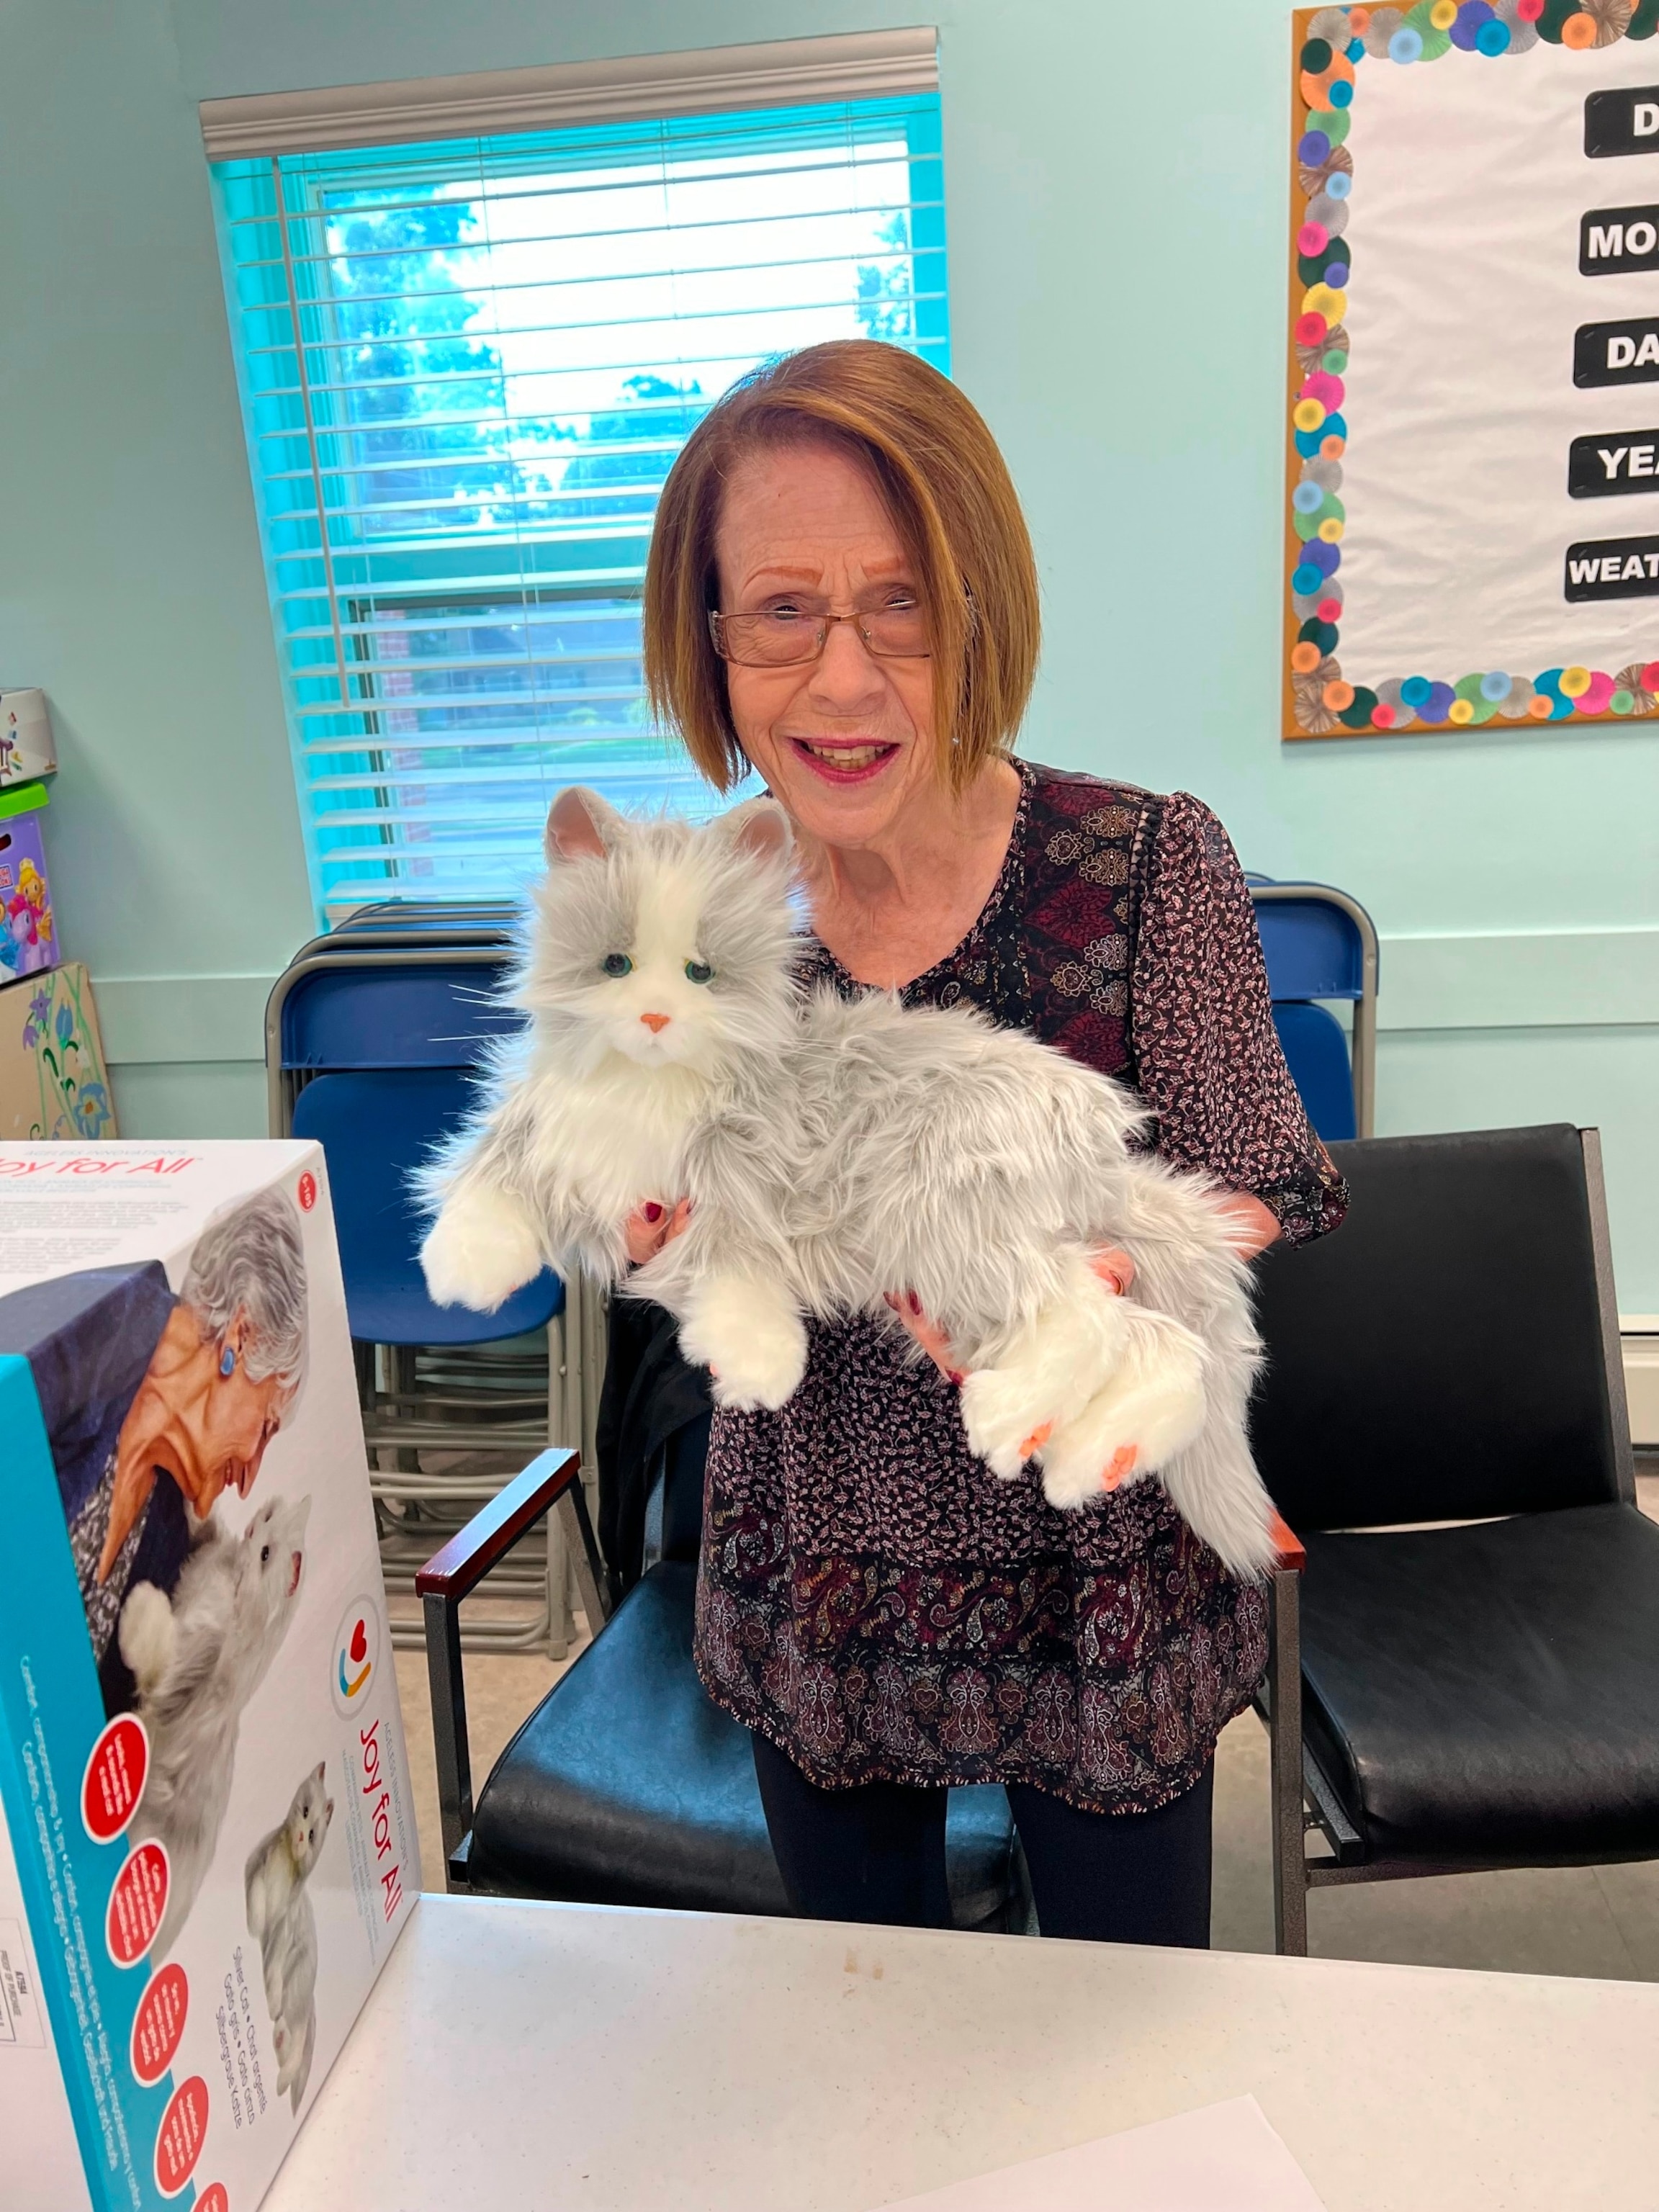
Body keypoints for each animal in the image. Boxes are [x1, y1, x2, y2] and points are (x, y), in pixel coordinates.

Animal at [422, 787, 1282, 1583]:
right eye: (615, 965)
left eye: (702, 973)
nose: (656, 1019)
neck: (650, 1085)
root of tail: (1100, 1154)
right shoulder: (557, 1132)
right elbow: (493, 1173)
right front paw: (465, 1270)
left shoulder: (745, 1183)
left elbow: (740, 1278)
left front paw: (759, 1369)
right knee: (1161, 1354)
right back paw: (1085, 1463)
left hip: (951, 1223)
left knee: (1093, 1327)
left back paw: (1007, 1425)